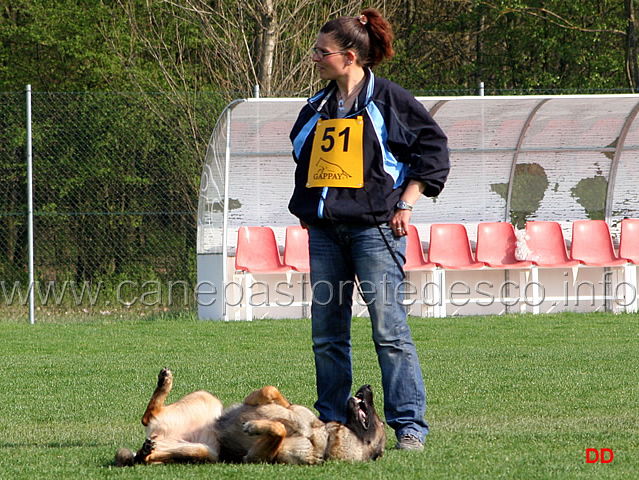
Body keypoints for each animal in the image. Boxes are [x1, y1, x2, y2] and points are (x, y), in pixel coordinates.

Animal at [114, 368, 384, 464]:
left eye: (379, 421)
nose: (369, 386)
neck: (322, 439)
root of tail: (160, 433)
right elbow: (272, 392)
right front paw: (283, 405)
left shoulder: (255, 458)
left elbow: (278, 429)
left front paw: (255, 425)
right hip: (207, 399)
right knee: (148, 417)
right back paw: (164, 382)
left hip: (205, 452)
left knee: (144, 445)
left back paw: (145, 452)